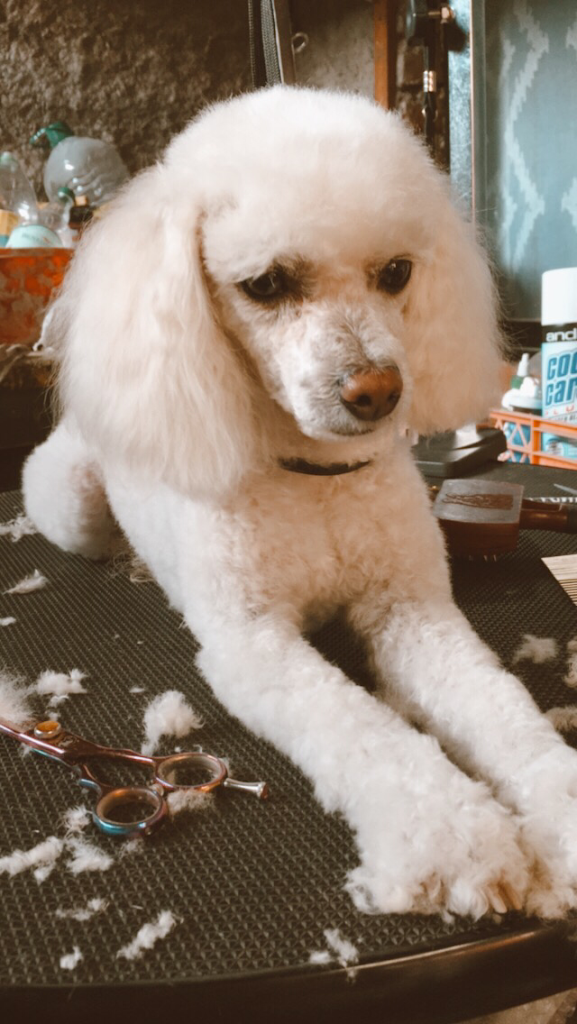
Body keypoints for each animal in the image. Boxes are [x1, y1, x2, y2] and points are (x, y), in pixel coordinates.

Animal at [23, 86, 577, 919]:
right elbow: (362, 730)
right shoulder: (254, 644)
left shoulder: (411, 610)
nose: (377, 393)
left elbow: (497, 705)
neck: (318, 481)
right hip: (72, 505)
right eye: (265, 284)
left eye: (396, 272)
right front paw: (454, 838)